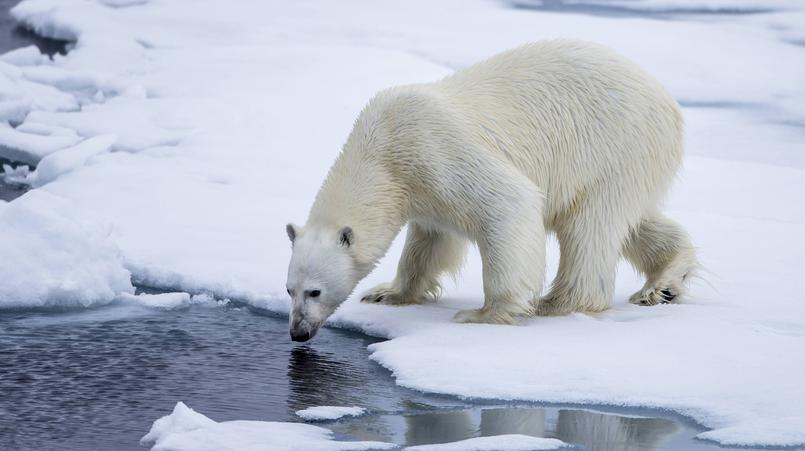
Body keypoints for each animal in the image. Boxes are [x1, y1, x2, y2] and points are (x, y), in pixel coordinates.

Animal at [286, 40, 696, 342]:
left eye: (314, 291)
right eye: (290, 289)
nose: (297, 332)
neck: (382, 149)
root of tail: (669, 103)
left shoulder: (432, 148)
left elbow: (508, 204)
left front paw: (483, 313)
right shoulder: (421, 189)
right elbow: (429, 242)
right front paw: (387, 292)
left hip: (612, 146)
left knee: (590, 226)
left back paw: (557, 302)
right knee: (630, 222)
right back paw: (664, 284)